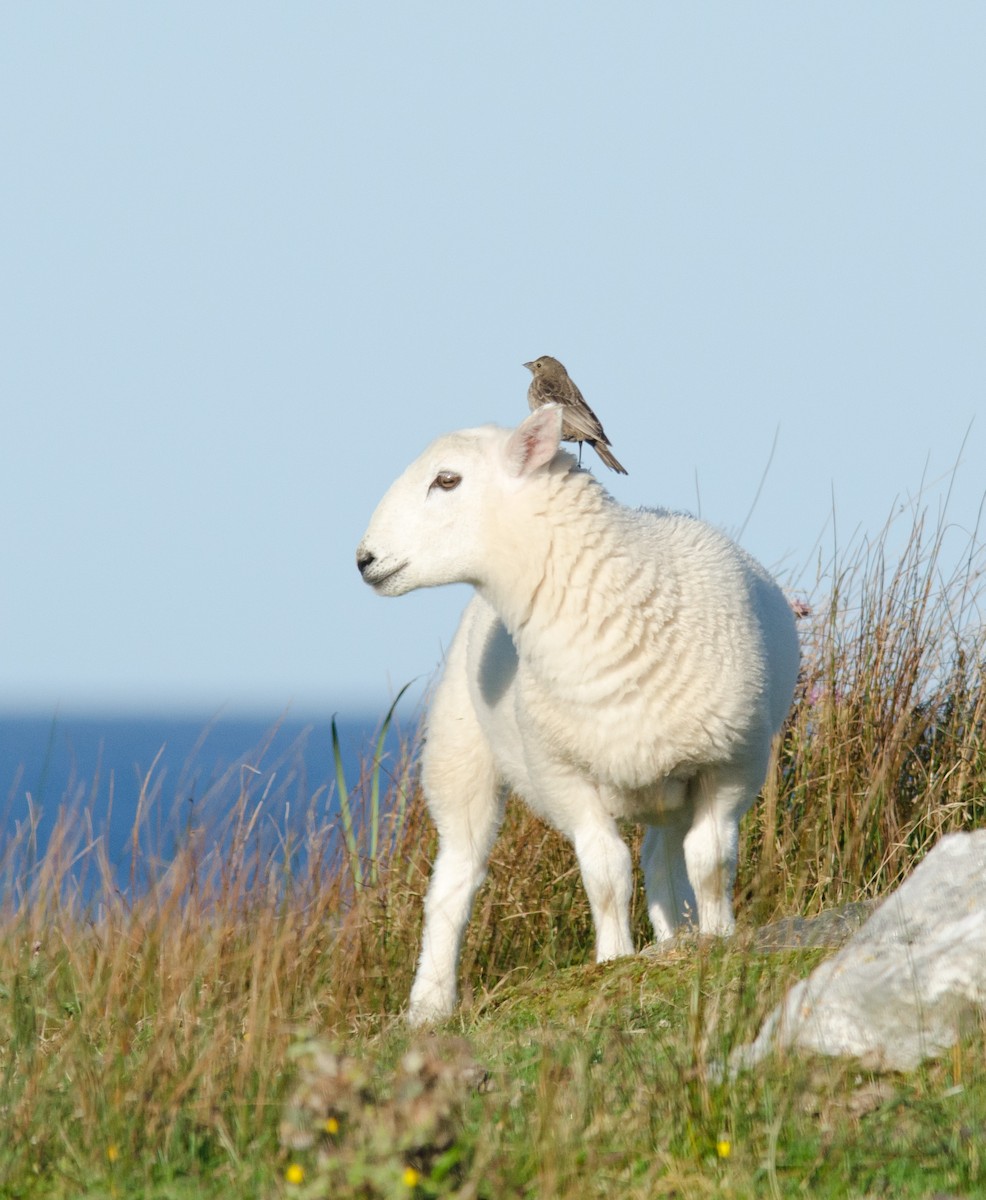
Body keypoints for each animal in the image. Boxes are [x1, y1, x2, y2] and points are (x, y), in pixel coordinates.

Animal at [357, 403, 801, 1022]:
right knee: (456, 876)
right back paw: (430, 1004)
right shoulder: (564, 776)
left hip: (664, 780)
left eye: (447, 480)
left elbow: (709, 859)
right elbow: (606, 874)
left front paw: (716, 936)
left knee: (663, 855)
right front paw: (613, 958)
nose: (364, 560)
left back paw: (676, 937)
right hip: (458, 750)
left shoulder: (730, 763)